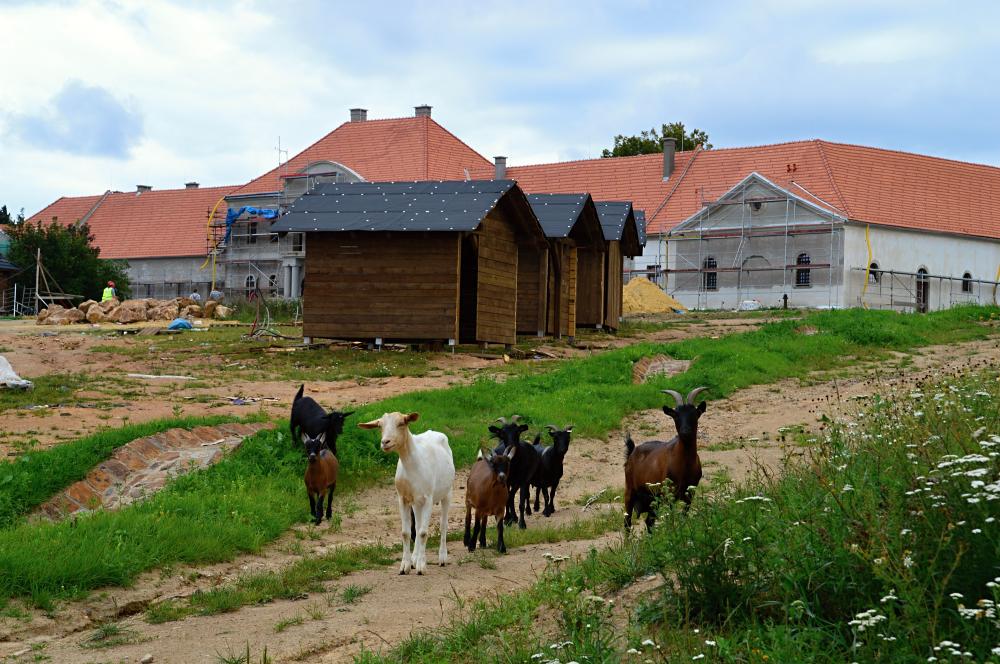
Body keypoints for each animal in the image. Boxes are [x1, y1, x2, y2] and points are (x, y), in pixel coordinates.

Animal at [358, 412, 456, 572]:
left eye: (401, 423)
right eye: (380, 425)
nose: (385, 442)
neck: (413, 464)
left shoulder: (428, 498)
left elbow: (423, 533)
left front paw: (421, 566)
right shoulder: (403, 498)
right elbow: (406, 532)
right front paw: (405, 566)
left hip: (447, 493)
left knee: (443, 524)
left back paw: (442, 558)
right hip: (416, 502)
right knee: (417, 525)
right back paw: (415, 558)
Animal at [620, 386, 708, 532]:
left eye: (695, 414)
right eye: (676, 416)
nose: (685, 431)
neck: (685, 465)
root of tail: (632, 452)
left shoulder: (690, 492)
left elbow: (683, 517)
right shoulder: (670, 494)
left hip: (652, 499)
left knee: (649, 521)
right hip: (630, 491)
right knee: (627, 522)